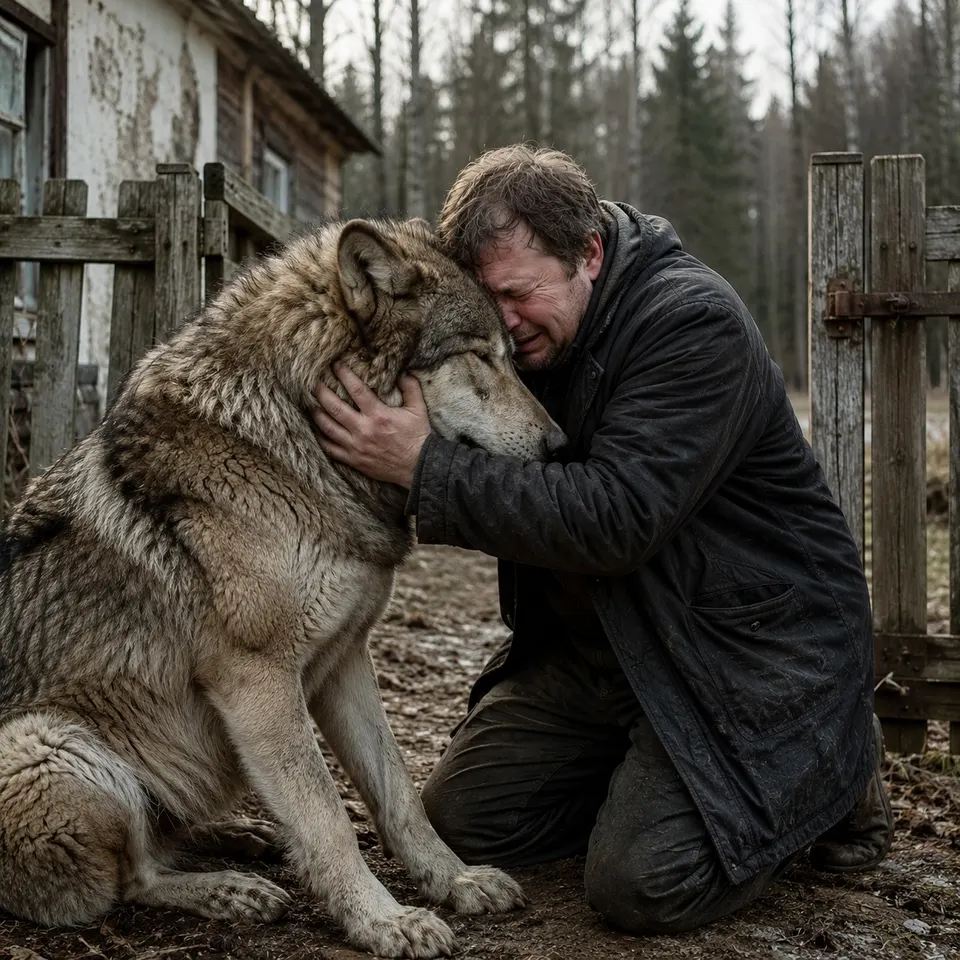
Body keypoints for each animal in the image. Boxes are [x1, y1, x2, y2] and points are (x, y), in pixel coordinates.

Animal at [0, 218, 566, 958]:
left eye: (513, 354)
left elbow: (397, 793)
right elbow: (327, 816)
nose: (560, 446)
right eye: (481, 356)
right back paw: (233, 892)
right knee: (131, 879)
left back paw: (244, 837)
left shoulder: (346, 659)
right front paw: (384, 920)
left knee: (162, 842)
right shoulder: (259, 680)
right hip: (51, 748)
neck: (292, 442)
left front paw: (455, 880)